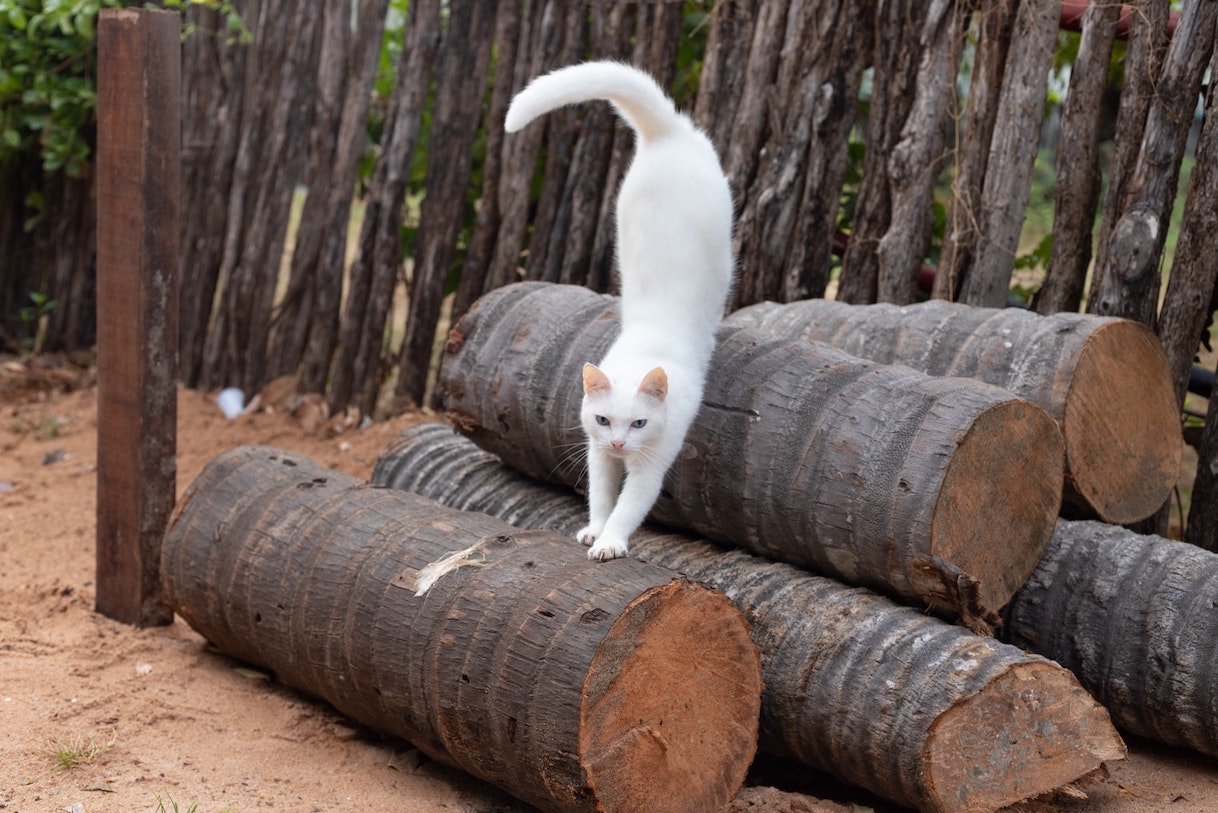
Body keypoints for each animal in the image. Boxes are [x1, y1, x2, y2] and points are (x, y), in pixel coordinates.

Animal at [504, 60, 730, 563]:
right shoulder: (596, 452)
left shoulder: (651, 464)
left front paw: (610, 542)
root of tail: (667, 130)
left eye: (640, 422)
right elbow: (602, 496)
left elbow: (628, 507)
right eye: (604, 420)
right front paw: (593, 530)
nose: (621, 441)